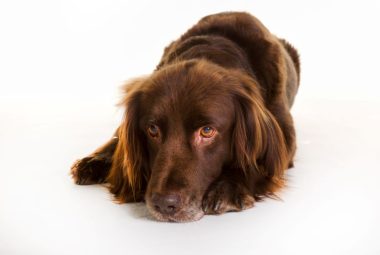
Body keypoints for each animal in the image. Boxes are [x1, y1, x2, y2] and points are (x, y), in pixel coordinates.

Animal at [70, 11, 300, 221]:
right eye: (152, 130)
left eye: (207, 131)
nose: (164, 204)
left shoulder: (285, 139)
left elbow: (256, 161)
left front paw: (228, 187)